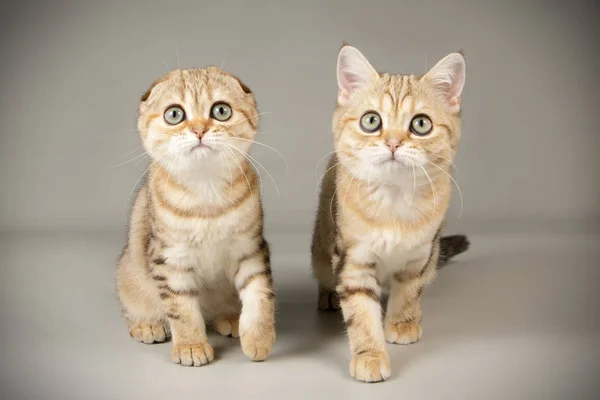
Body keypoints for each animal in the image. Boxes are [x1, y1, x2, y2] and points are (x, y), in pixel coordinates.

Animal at [116, 67, 276, 368]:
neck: (206, 193)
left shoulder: (250, 248)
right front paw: (191, 345)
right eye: (174, 114)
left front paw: (258, 337)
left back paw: (230, 318)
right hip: (128, 273)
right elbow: (181, 308)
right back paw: (147, 325)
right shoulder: (170, 258)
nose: (199, 130)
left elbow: (260, 293)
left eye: (221, 111)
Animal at [312, 45, 472, 382]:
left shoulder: (422, 254)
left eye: (421, 124)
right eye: (371, 121)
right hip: (321, 247)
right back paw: (329, 295)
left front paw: (401, 322)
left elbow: (409, 290)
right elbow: (360, 312)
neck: (393, 203)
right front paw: (370, 354)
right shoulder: (353, 260)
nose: (394, 143)